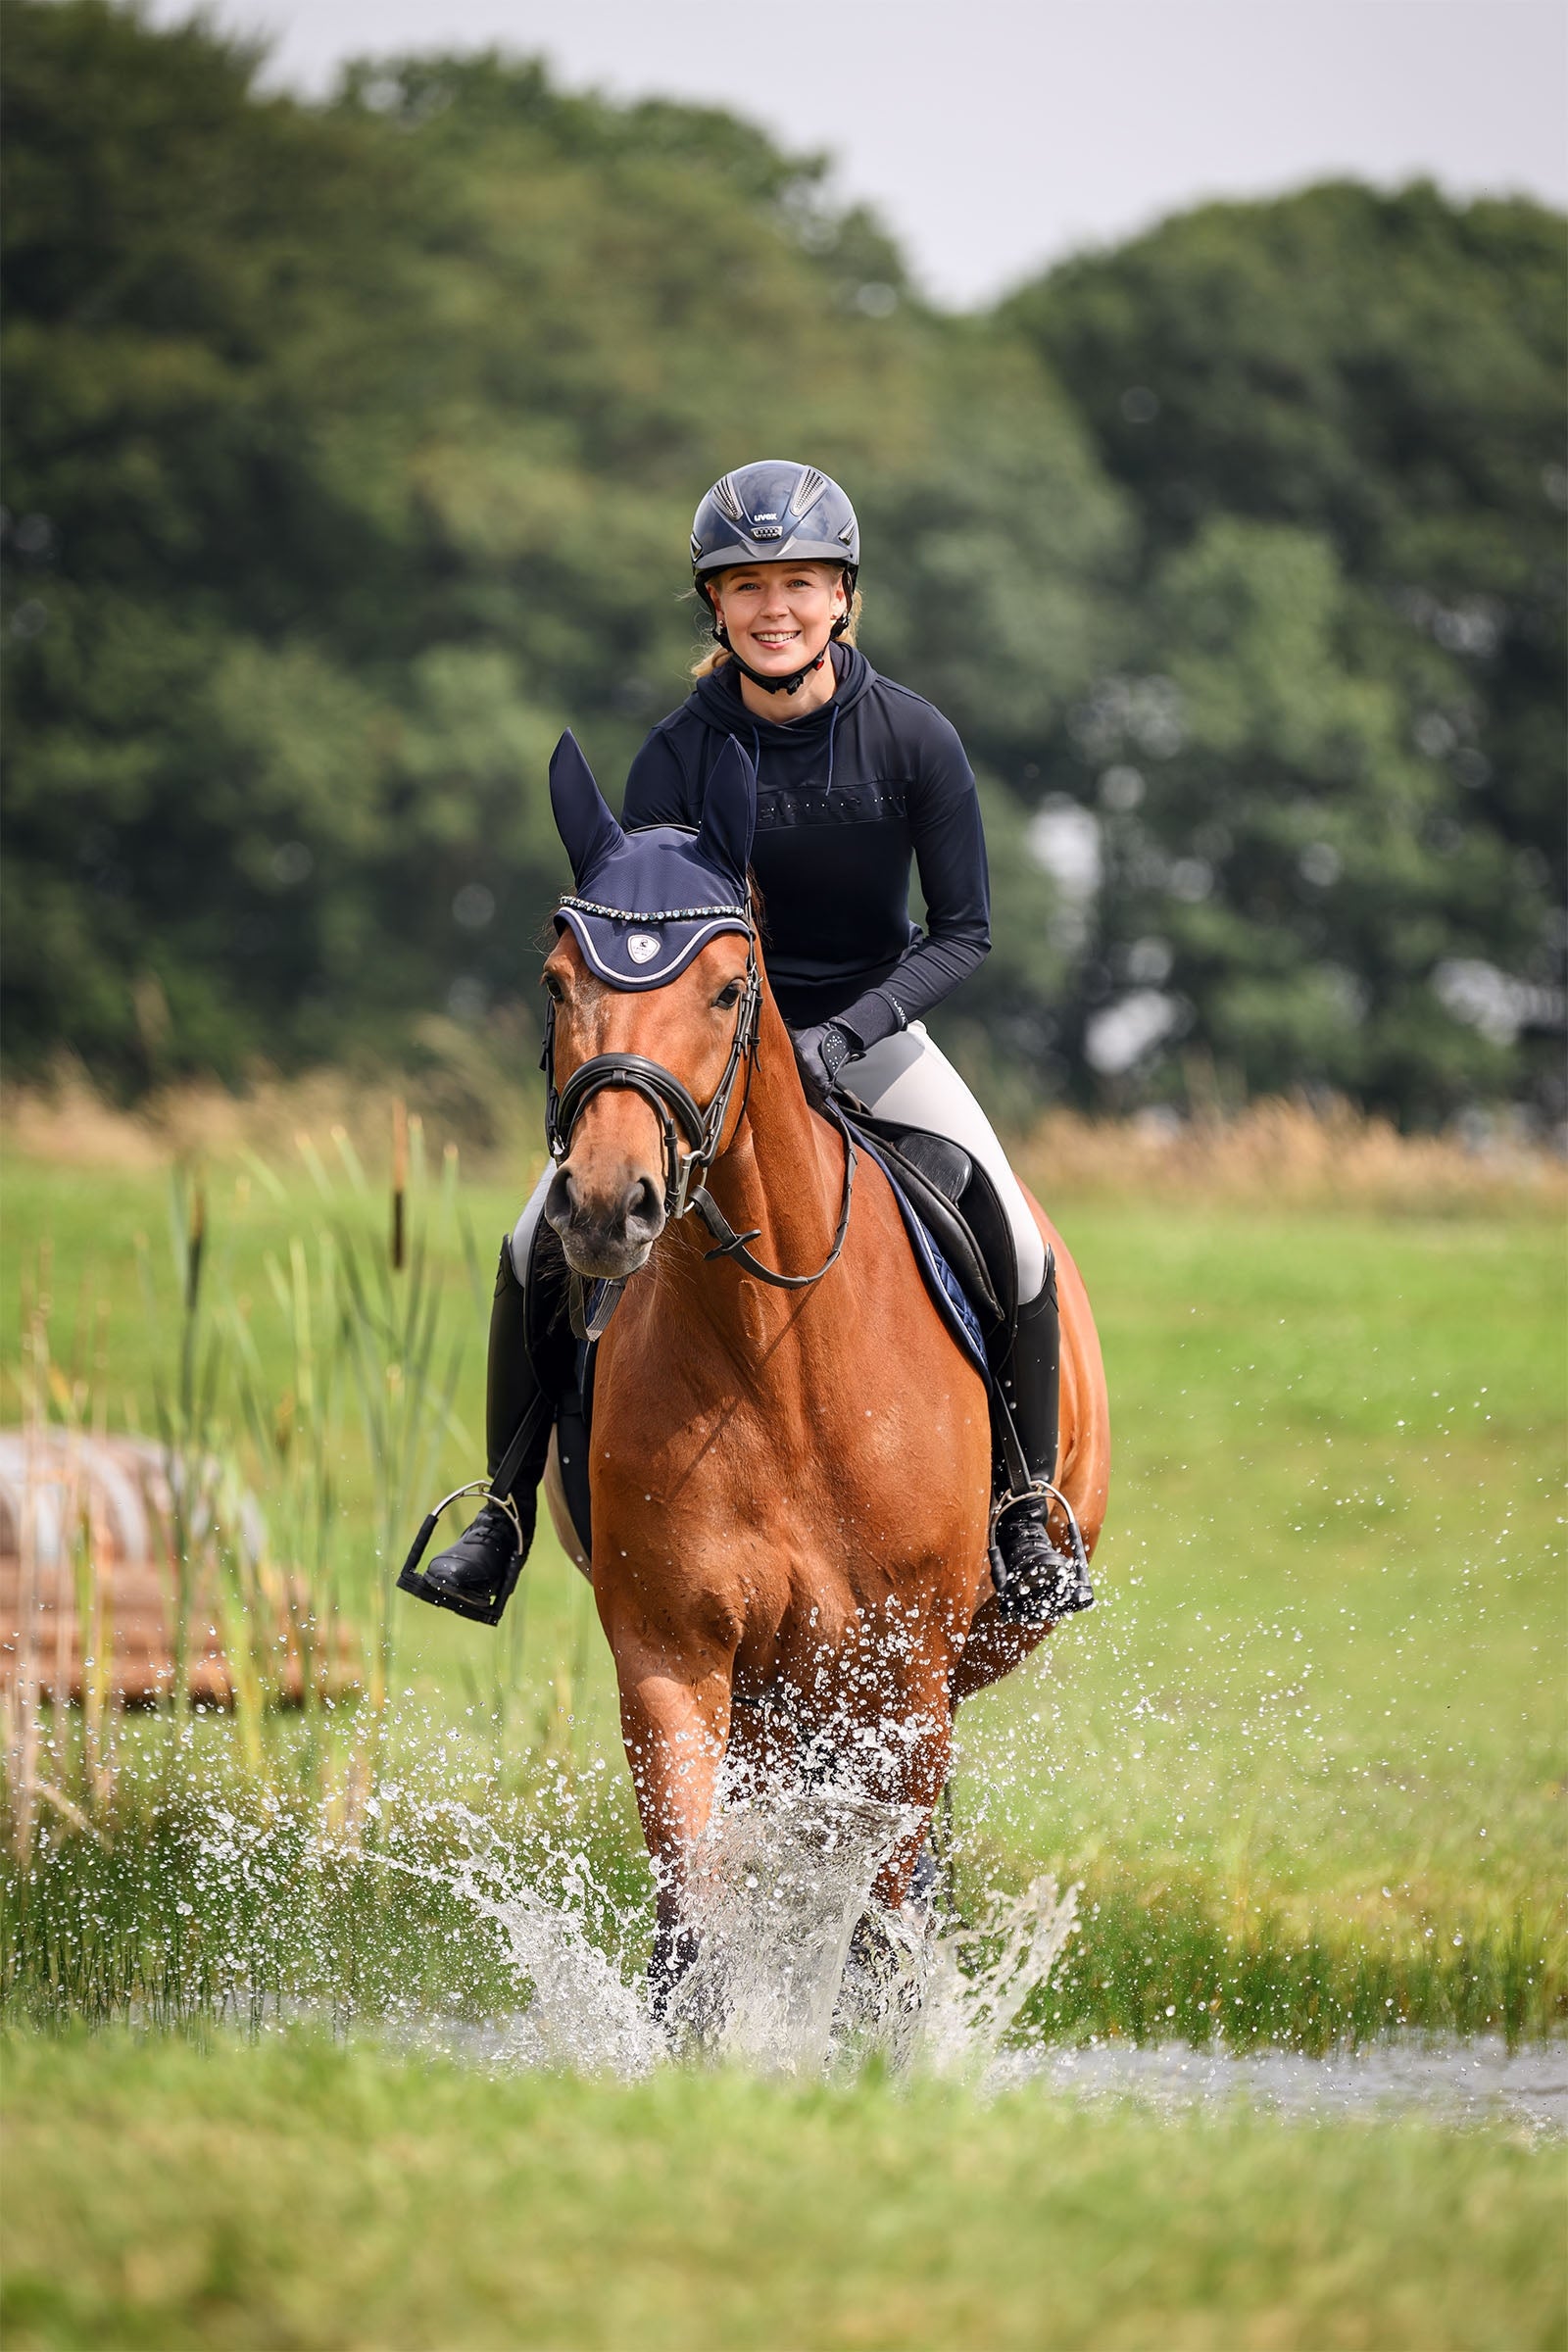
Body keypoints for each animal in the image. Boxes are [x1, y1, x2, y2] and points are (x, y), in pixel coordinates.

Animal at [535, 734, 1110, 1999]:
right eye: (554, 981)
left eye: (727, 987)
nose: (604, 1206)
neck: (774, 1355)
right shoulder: (673, 1661)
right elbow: (693, 1934)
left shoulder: (903, 1682)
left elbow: (875, 1946)